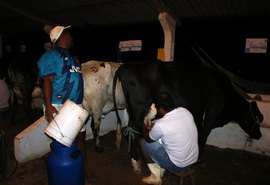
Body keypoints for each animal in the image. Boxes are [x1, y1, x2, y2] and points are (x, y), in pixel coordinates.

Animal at [113, 60, 262, 173]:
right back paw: (136, 164)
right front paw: (199, 159)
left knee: (130, 130)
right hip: (139, 108)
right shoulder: (212, 113)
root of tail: (126, 65)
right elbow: (203, 136)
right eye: (257, 117)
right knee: (133, 132)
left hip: (132, 110)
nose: (259, 135)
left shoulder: (198, 112)